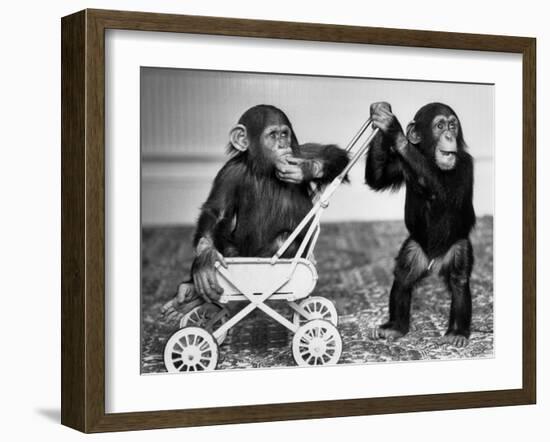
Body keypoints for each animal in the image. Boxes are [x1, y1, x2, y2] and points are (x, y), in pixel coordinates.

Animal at [162, 103, 350, 318]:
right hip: (240, 254)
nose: (282, 145)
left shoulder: (299, 153)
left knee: (285, 240)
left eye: (284, 134)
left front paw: (306, 169)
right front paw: (206, 257)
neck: (264, 169)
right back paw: (189, 293)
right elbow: (216, 212)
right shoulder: (228, 174)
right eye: (273, 135)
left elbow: (334, 155)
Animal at [364, 102, 476, 348]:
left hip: (457, 247)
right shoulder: (399, 165)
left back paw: (457, 332)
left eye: (452, 125)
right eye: (440, 126)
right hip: (415, 249)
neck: (430, 158)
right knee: (403, 277)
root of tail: (435, 262)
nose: (449, 135)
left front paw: (394, 130)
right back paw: (395, 327)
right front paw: (381, 114)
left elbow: (441, 192)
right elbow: (377, 179)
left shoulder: (464, 165)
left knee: (459, 280)